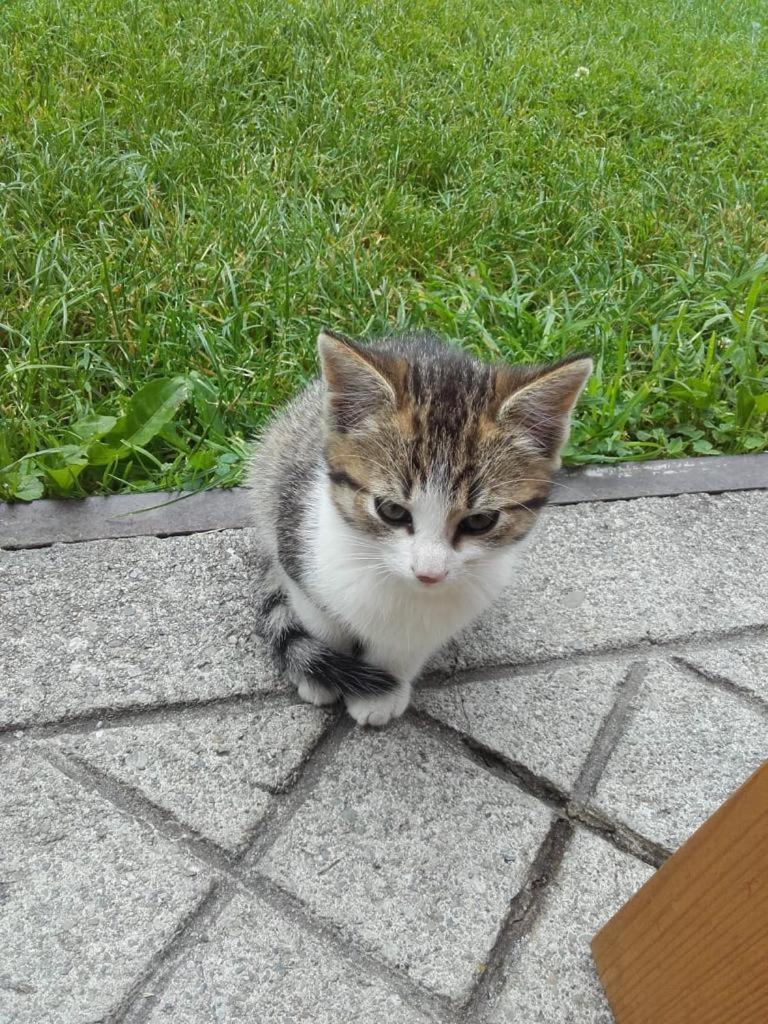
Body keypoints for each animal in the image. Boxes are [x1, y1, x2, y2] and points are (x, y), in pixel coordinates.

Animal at [249, 331, 593, 724]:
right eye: (391, 511)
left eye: (479, 521)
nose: (429, 573)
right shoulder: (298, 544)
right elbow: (320, 618)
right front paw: (320, 675)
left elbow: (407, 645)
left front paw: (382, 693)